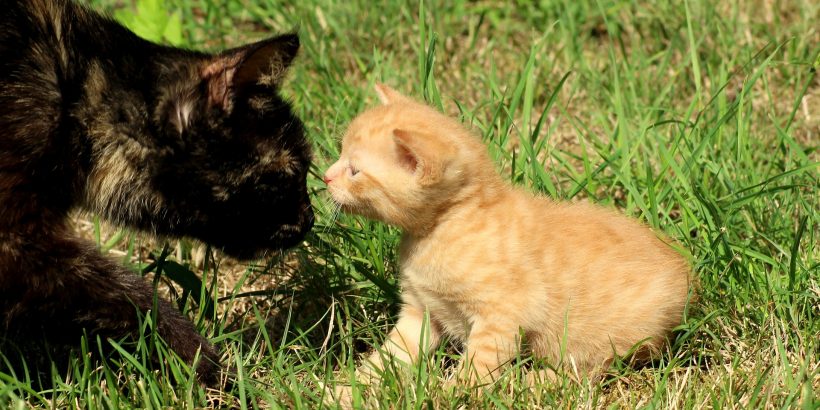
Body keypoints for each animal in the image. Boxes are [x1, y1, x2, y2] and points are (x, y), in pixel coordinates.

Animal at [0, 0, 314, 384]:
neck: (77, 88)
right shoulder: (15, 242)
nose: (310, 218)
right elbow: (129, 294)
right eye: (289, 174)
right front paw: (203, 361)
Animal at [324, 84, 696, 384]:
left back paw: (534, 382)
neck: (444, 226)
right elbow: (387, 359)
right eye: (340, 155)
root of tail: (684, 273)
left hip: (607, 337)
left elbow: (476, 369)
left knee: (591, 369)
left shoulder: (501, 316)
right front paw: (344, 392)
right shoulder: (420, 313)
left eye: (354, 171)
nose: (326, 176)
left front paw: (452, 395)